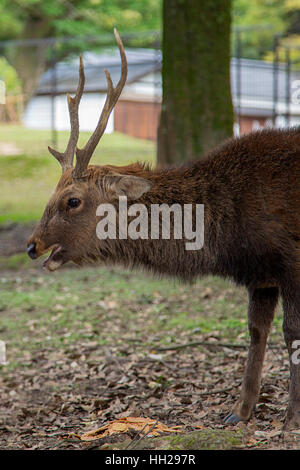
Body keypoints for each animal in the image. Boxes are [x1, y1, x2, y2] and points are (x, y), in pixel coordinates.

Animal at [26, 28, 300, 430]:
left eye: (72, 200)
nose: (32, 245)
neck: (228, 238)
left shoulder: (291, 260)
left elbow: (291, 332)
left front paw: (292, 418)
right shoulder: (260, 275)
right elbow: (255, 332)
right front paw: (239, 412)